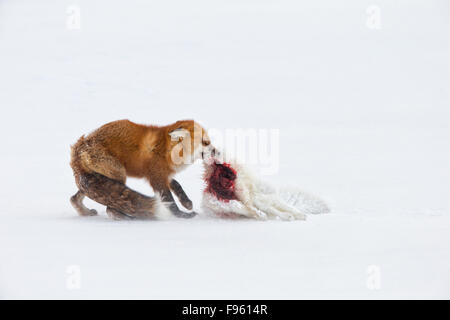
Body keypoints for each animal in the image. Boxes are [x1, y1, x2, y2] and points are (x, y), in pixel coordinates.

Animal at [70, 120, 218, 220]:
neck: (168, 150)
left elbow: (177, 185)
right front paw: (181, 215)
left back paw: (85, 212)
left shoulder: (162, 174)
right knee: (110, 209)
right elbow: (170, 202)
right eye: (205, 142)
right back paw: (129, 219)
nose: (218, 152)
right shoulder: (156, 178)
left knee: (74, 198)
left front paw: (186, 202)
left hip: (98, 179)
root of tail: (79, 148)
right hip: (119, 174)